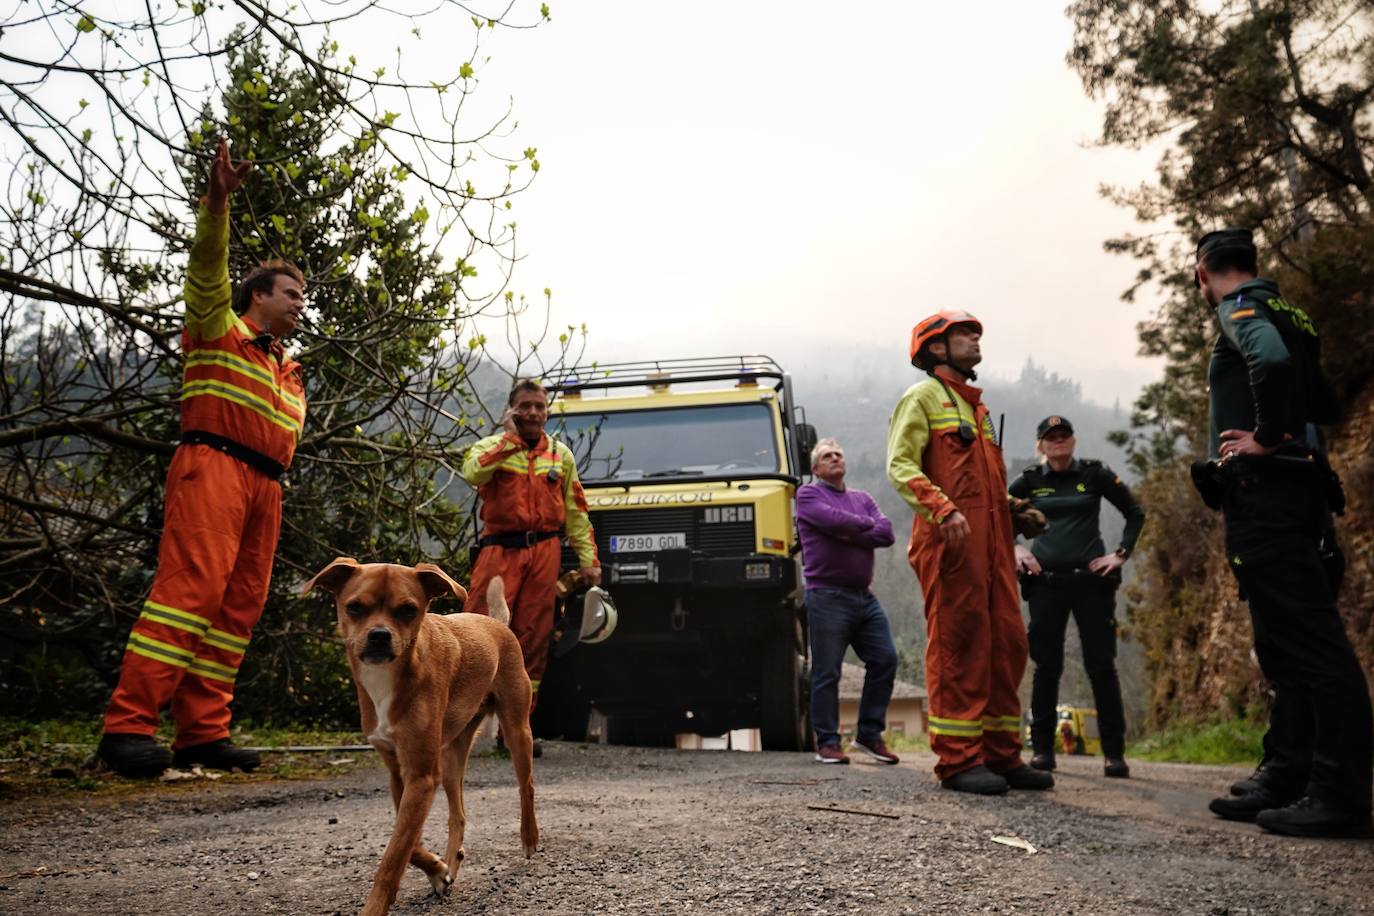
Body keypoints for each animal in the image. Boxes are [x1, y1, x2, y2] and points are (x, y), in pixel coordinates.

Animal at [303, 560, 538, 916]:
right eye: (355, 607)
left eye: (408, 610)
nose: (379, 636)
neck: (390, 679)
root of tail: (495, 623)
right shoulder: (401, 774)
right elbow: (408, 843)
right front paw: (438, 870)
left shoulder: (421, 777)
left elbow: (394, 854)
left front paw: (375, 907)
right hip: (452, 759)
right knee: (458, 815)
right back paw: (452, 861)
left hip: (516, 731)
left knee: (527, 786)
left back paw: (529, 838)